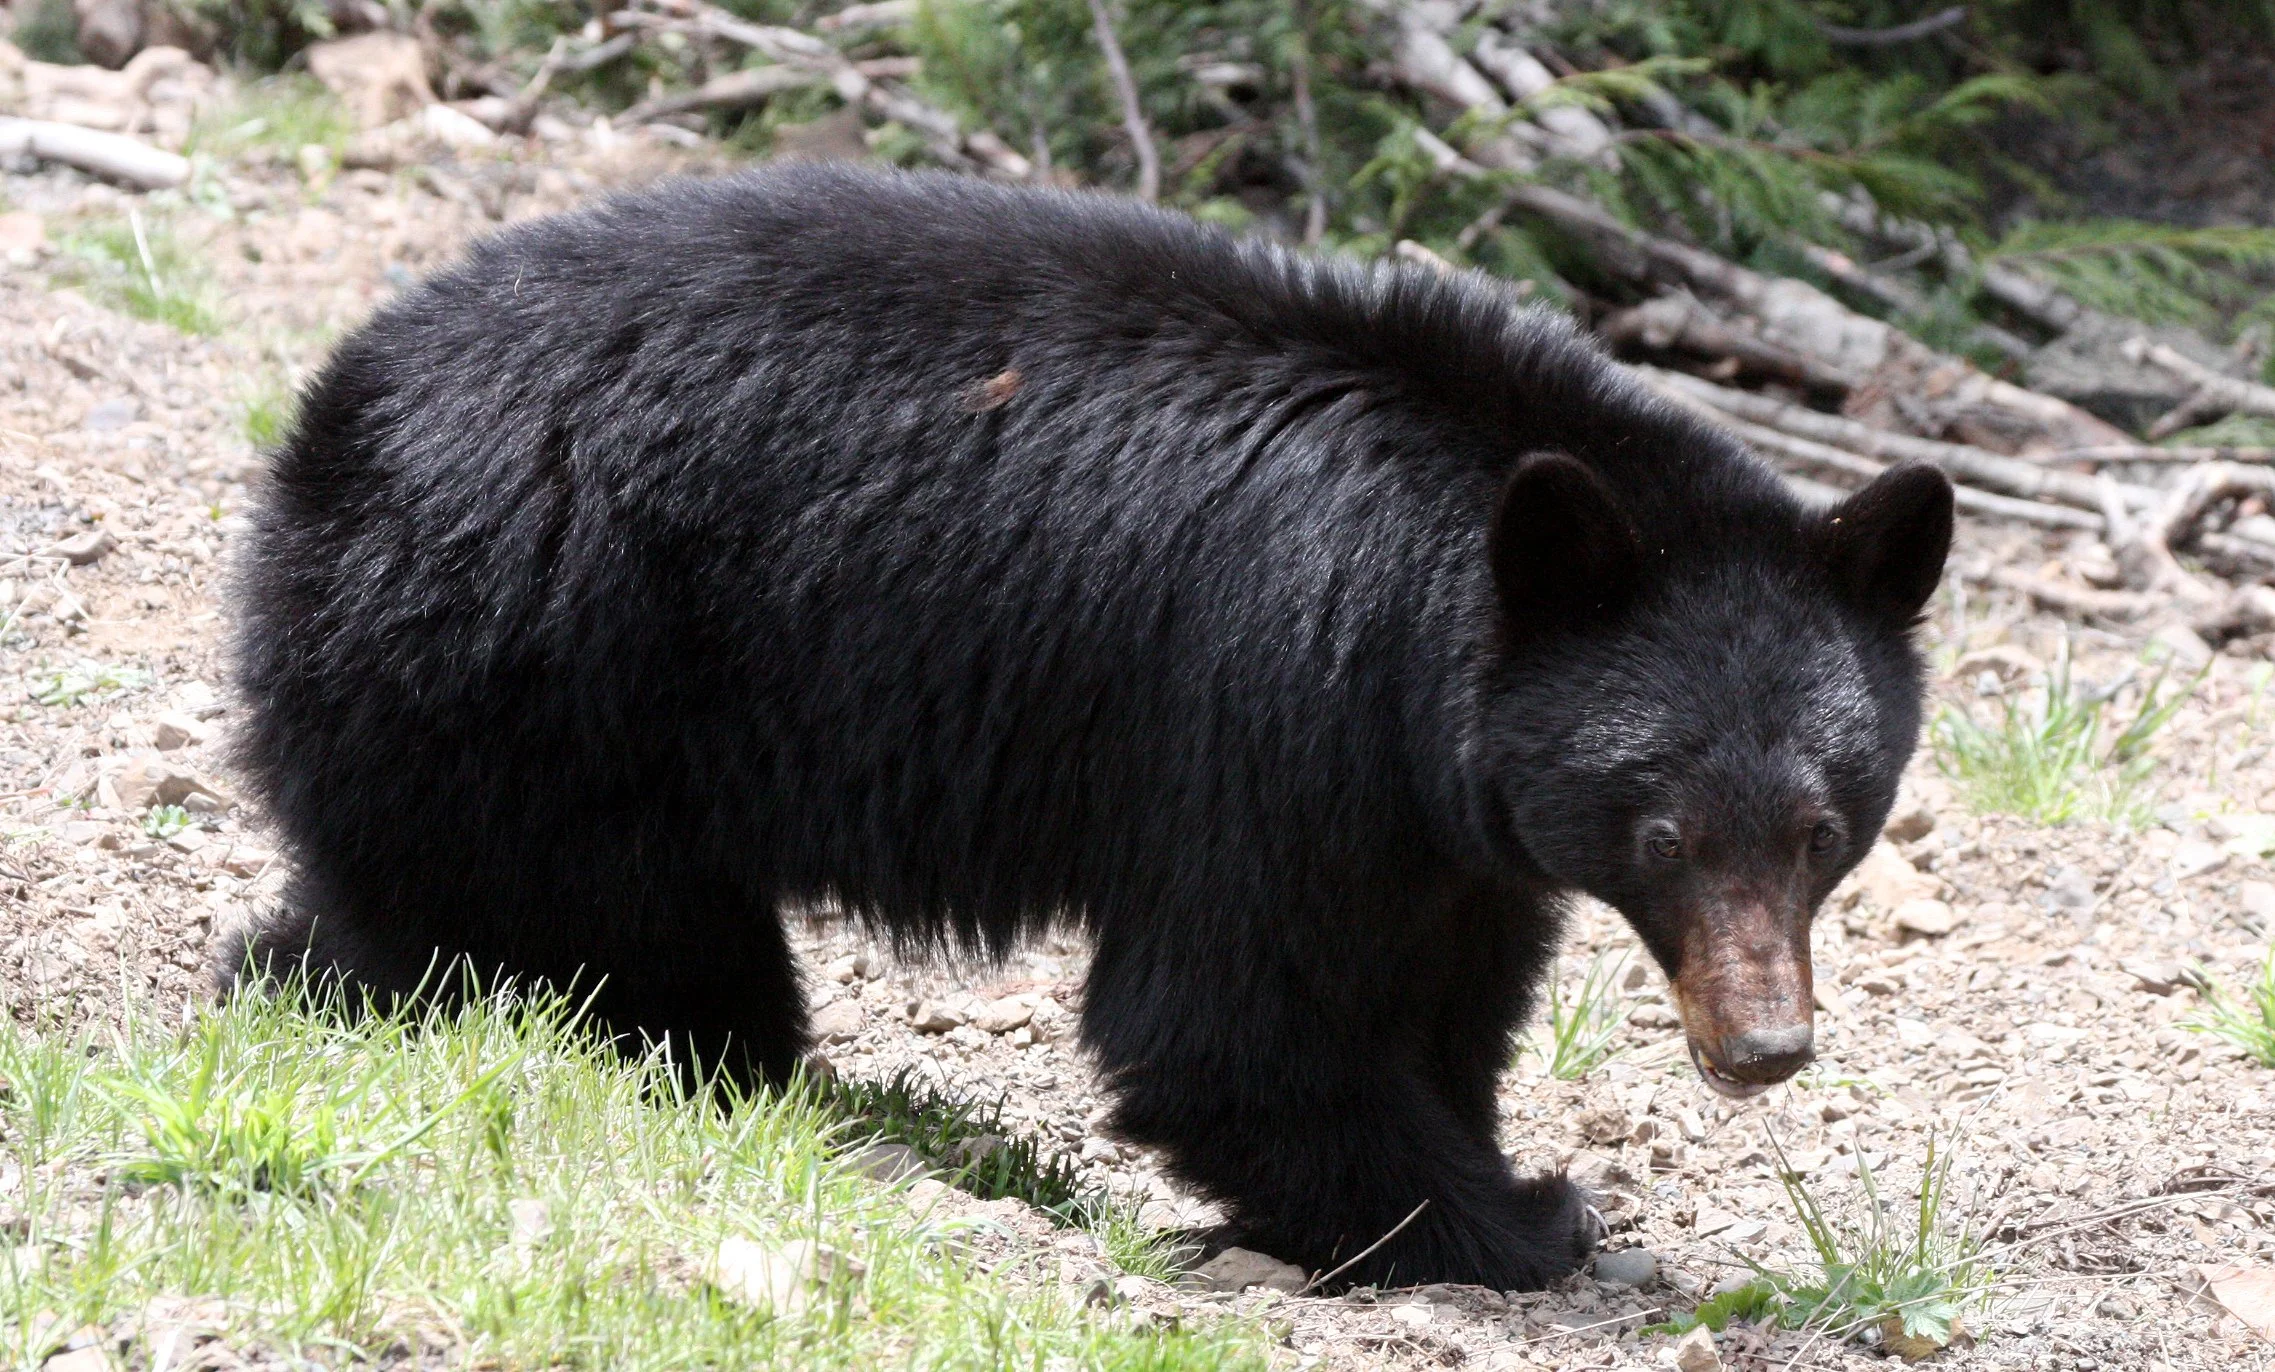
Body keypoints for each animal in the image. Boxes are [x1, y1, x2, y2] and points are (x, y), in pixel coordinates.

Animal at [221, 162, 1952, 1292]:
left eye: (1822, 828)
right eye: (1661, 828)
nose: (1761, 1048)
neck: (1425, 630)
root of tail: (336, 404)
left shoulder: (1450, 822)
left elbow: (1443, 987)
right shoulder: (1268, 711)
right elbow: (1228, 1016)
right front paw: (1506, 1222)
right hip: (538, 655)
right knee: (577, 922)